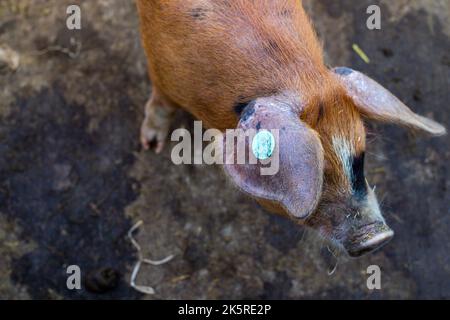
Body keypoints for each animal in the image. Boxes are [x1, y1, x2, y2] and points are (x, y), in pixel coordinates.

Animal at [136, 0, 446, 256]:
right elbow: (160, 105)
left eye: (360, 157)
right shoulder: (161, 72)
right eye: (319, 172)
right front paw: (150, 145)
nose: (377, 237)